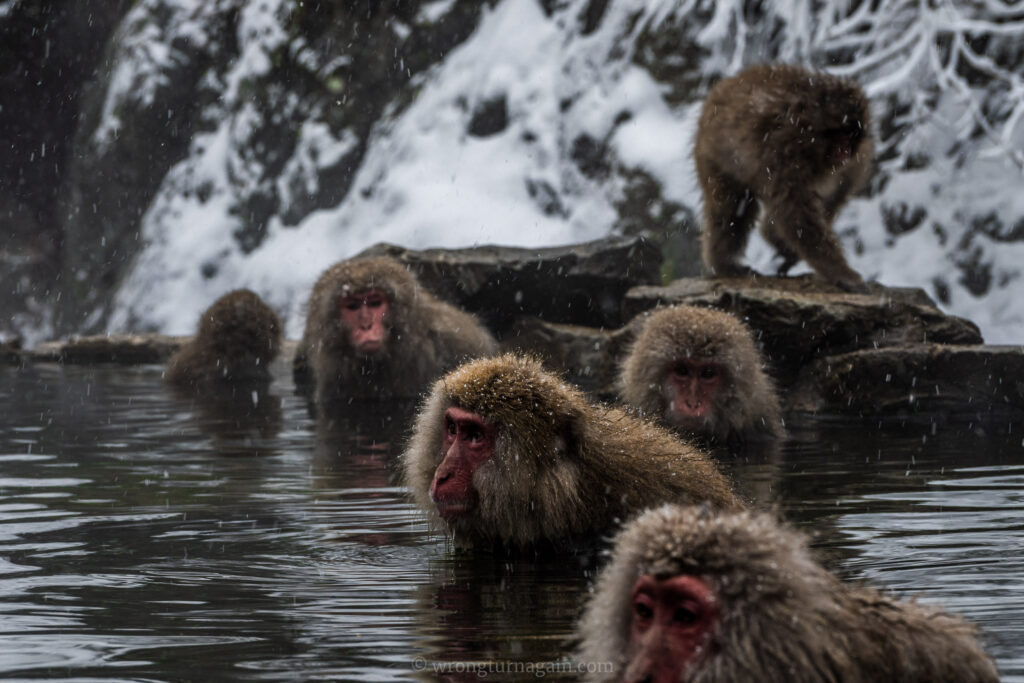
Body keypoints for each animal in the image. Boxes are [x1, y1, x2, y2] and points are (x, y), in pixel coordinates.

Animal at [695, 63, 874, 292]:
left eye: (851, 138)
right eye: (840, 136)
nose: (844, 152)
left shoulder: (856, 163)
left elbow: (833, 196)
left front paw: (780, 241)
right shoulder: (785, 152)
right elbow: (795, 212)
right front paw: (842, 274)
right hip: (712, 156)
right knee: (731, 207)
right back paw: (723, 264)